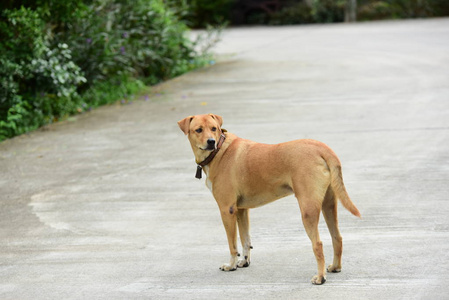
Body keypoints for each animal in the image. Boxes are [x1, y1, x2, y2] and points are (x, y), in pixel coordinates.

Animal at [177, 113, 358, 284]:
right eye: (198, 130)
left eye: (214, 128)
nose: (211, 142)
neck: (219, 151)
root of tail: (322, 148)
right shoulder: (241, 210)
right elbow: (245, 239)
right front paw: (244, 261)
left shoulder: (227, 209)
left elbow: (232, 244)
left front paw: (231, 265)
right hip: (329, 204)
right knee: (337, 237)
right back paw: (335, 267)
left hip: (308, 209)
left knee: (318, 245)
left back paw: (320, 278)